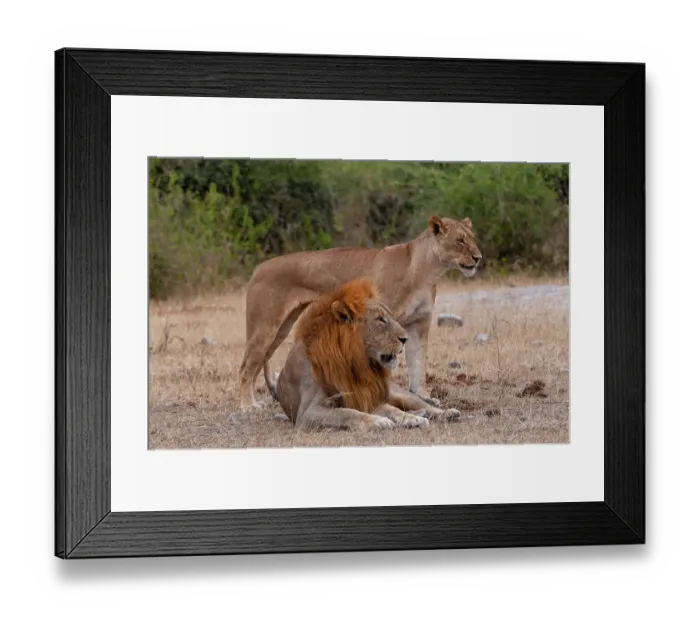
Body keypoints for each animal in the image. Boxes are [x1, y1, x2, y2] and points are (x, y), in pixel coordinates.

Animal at [239, 215, 482, 410]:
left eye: (472, 238)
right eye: (460, 240)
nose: (478, 258)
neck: (427, 272)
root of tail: (258, 268)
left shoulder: (419, 325)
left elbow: (418, 364)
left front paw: (423, 396)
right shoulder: (384, 323)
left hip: (282, 328)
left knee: (259, 363)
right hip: (264, 327)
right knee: (245, 367)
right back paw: (248, 406)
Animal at [270, 278, 461, 431]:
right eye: (380, 319)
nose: (405, 338)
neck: (352, 362)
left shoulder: (365, 396)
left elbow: (386, 410)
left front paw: (400, 419)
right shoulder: (307, 412)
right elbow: (347, 412)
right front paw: (378, 421)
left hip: (397, 393)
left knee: (419, 405)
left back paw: (442, 414)